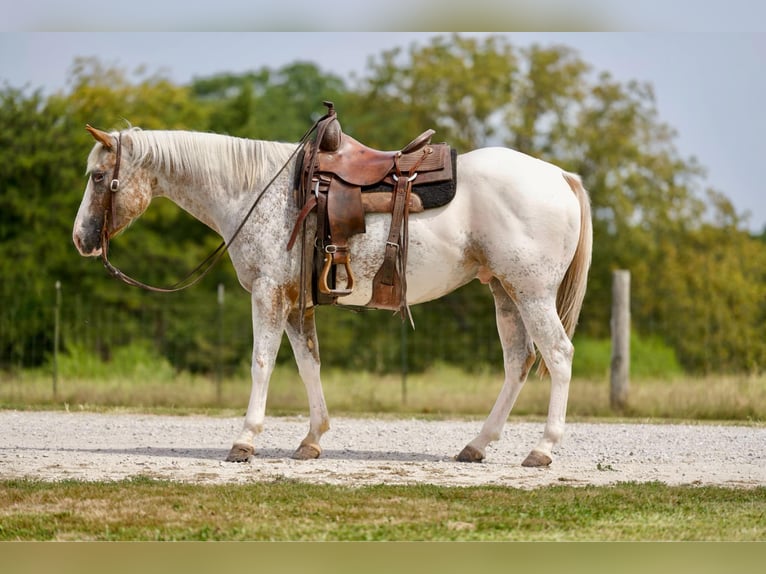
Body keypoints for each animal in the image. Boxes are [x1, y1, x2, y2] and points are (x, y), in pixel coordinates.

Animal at [72, 123, 592, 468]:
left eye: (98, 177)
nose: (81, 239)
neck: (256, 192)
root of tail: (560, 176)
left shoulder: (267, 294)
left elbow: (261, 363)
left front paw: (245, 441)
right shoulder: (295, 302)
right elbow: (309, 364)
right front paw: (312, 439)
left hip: (531, 292)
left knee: (559, 355)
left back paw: (542, 448)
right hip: (505, 292)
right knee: (518, 361)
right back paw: (477, 445)